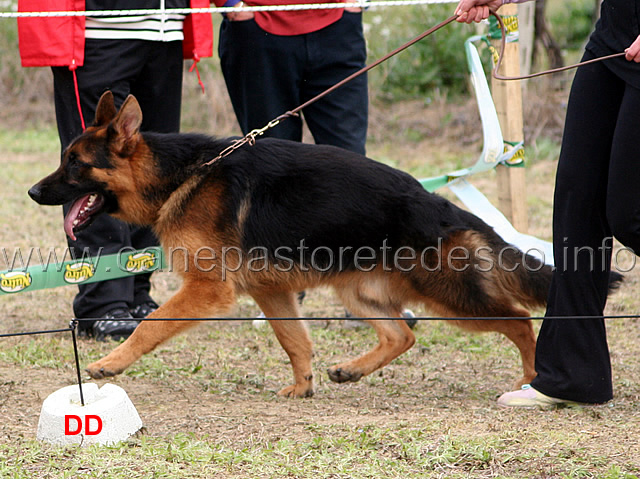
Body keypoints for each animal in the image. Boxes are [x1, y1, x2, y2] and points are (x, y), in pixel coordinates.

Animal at [28, 92, 592, 400]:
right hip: (359, 294)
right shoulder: (271, 293)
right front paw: (303, 385)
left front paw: (110, 364)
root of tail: (437, 204)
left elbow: (151, 326)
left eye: (75, 164)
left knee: (518, 320)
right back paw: (351, 369)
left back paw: (533, 377)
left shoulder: (208, 290)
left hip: (452, 299)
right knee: (403, 335)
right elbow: (294, 341)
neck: (177, 175)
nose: (33, 192)